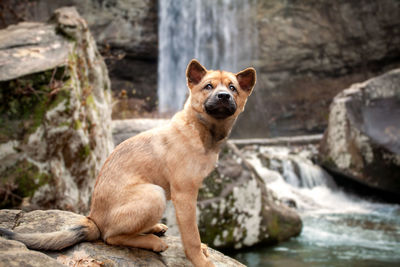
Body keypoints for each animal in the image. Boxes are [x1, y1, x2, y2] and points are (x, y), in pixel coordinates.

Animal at [0, 59, 256, 267]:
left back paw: (153, 228)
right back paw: (151, 241)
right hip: (154, 194)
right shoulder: (185, 195)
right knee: (110, 236)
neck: (200, 129)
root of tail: (93, 219)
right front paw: (200, 260)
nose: (224, 97)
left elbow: (193, 234)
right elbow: (191, 235)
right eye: (208, 87)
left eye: (232, 88)